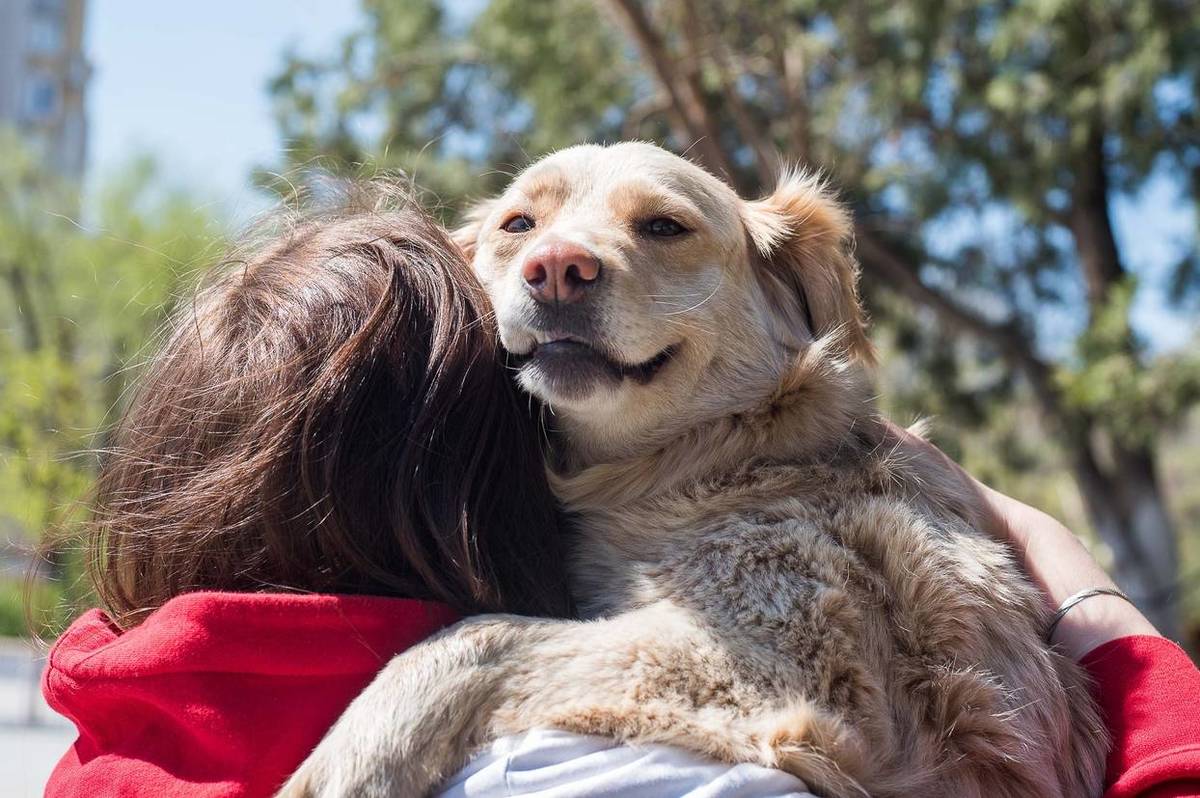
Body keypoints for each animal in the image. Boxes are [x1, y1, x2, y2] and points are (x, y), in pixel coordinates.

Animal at [278, 143, 1104, 796]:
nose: (556, 269)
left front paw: (357, 751)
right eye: (519, 226)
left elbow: (486, 633)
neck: (703, 461)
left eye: (664, 226)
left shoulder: (796, 667)